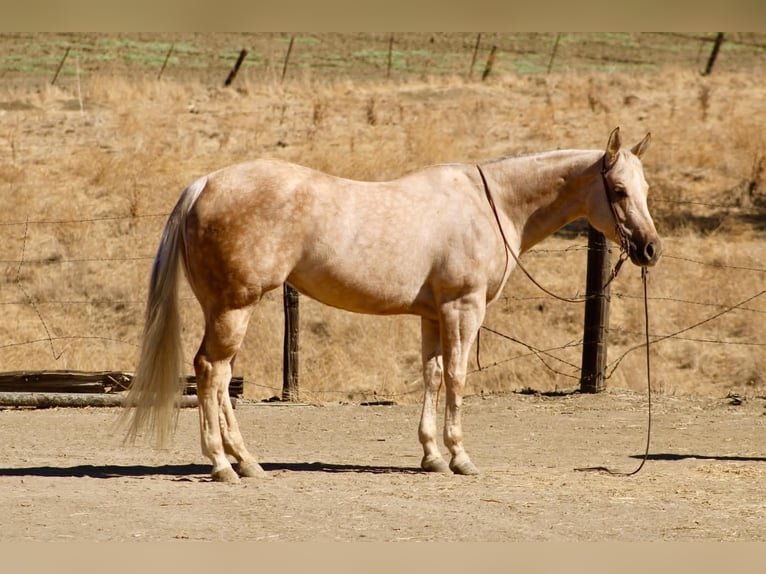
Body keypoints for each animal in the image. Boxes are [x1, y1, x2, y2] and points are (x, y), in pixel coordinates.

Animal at [120, 127, 662, 482]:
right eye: (618, 190)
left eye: (645, 189)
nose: (651, 248)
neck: (490, 206)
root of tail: (205, 184)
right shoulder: (463, 309)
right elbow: (458, 378)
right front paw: (460, 457)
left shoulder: (433, 315)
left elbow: (432, 375)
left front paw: (432, 456)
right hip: (236, 307)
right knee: (212, 372)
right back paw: (221, 464)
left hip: (225, 308)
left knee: (220, 376)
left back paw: (247, 462)